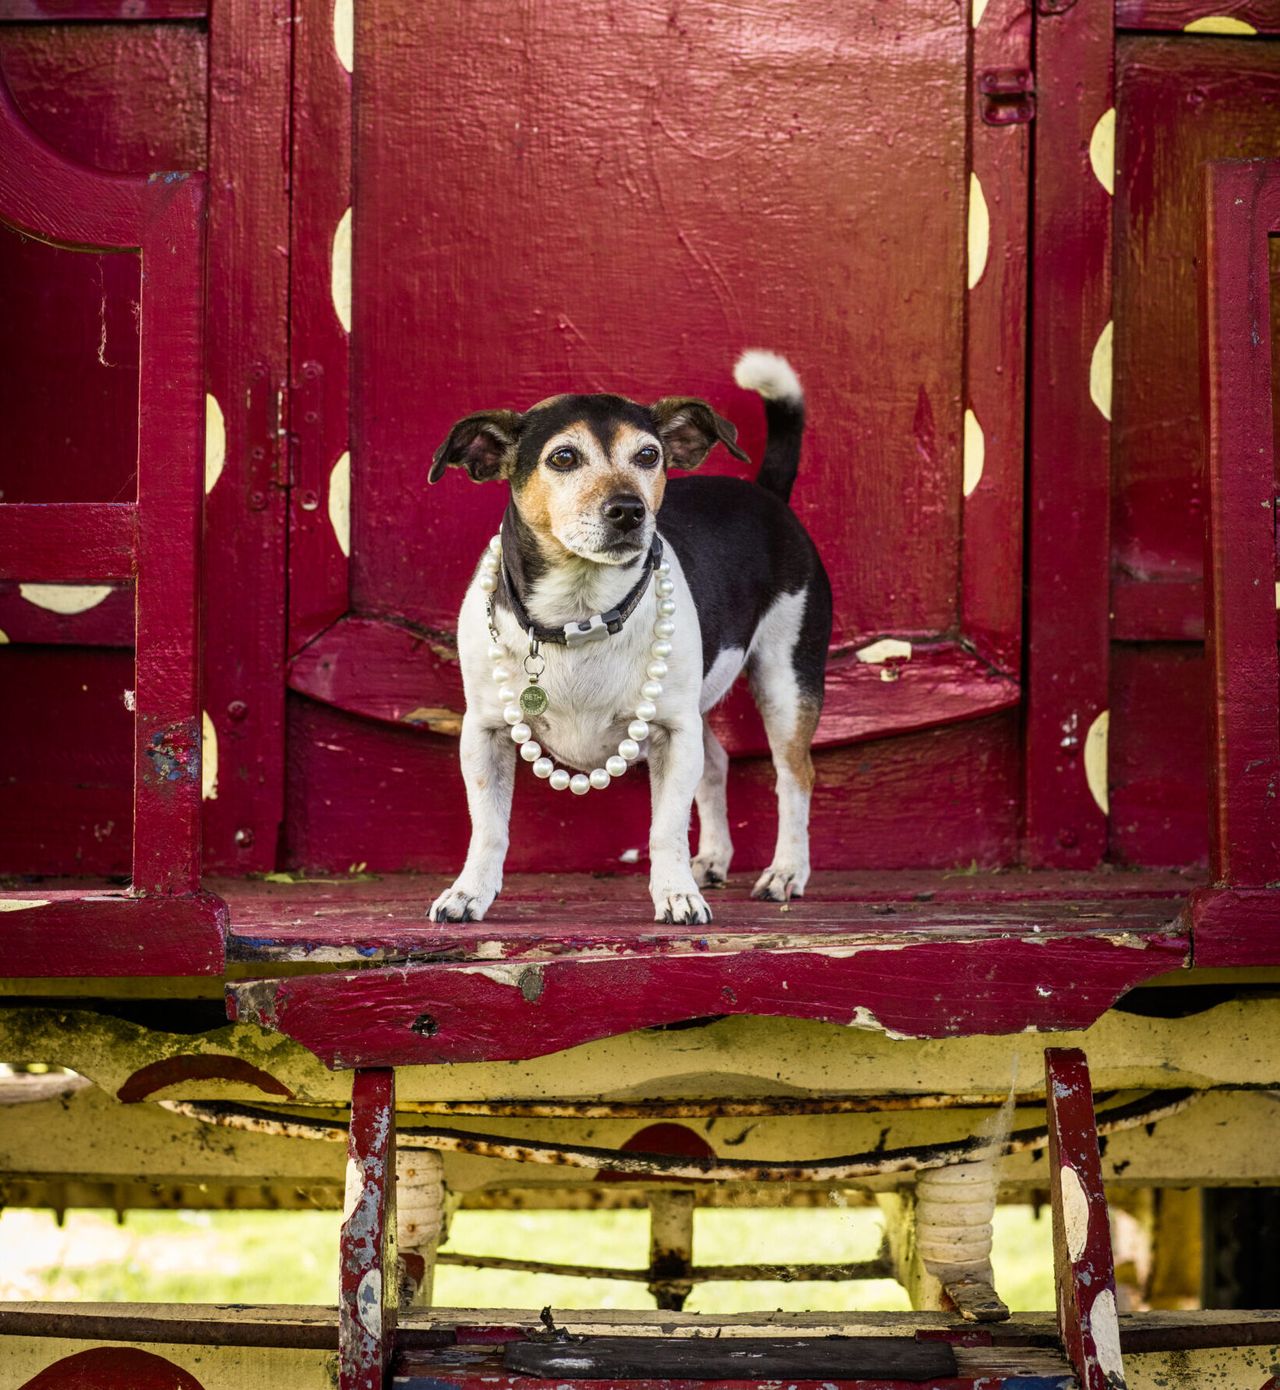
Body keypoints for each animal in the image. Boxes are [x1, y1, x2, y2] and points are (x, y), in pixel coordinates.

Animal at [425, 353, 833, 928]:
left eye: (648, 455)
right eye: (563, 457)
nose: (628, 509)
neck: (580, 614)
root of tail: (767, 495)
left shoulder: (672, 733)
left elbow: (666, 828)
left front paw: (678, 895)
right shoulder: (484, 734)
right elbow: (488, 826)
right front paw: (469, 893)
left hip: (785, 679)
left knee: (795, 774)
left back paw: (786, 871)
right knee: (718, 763)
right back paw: (713, 858)